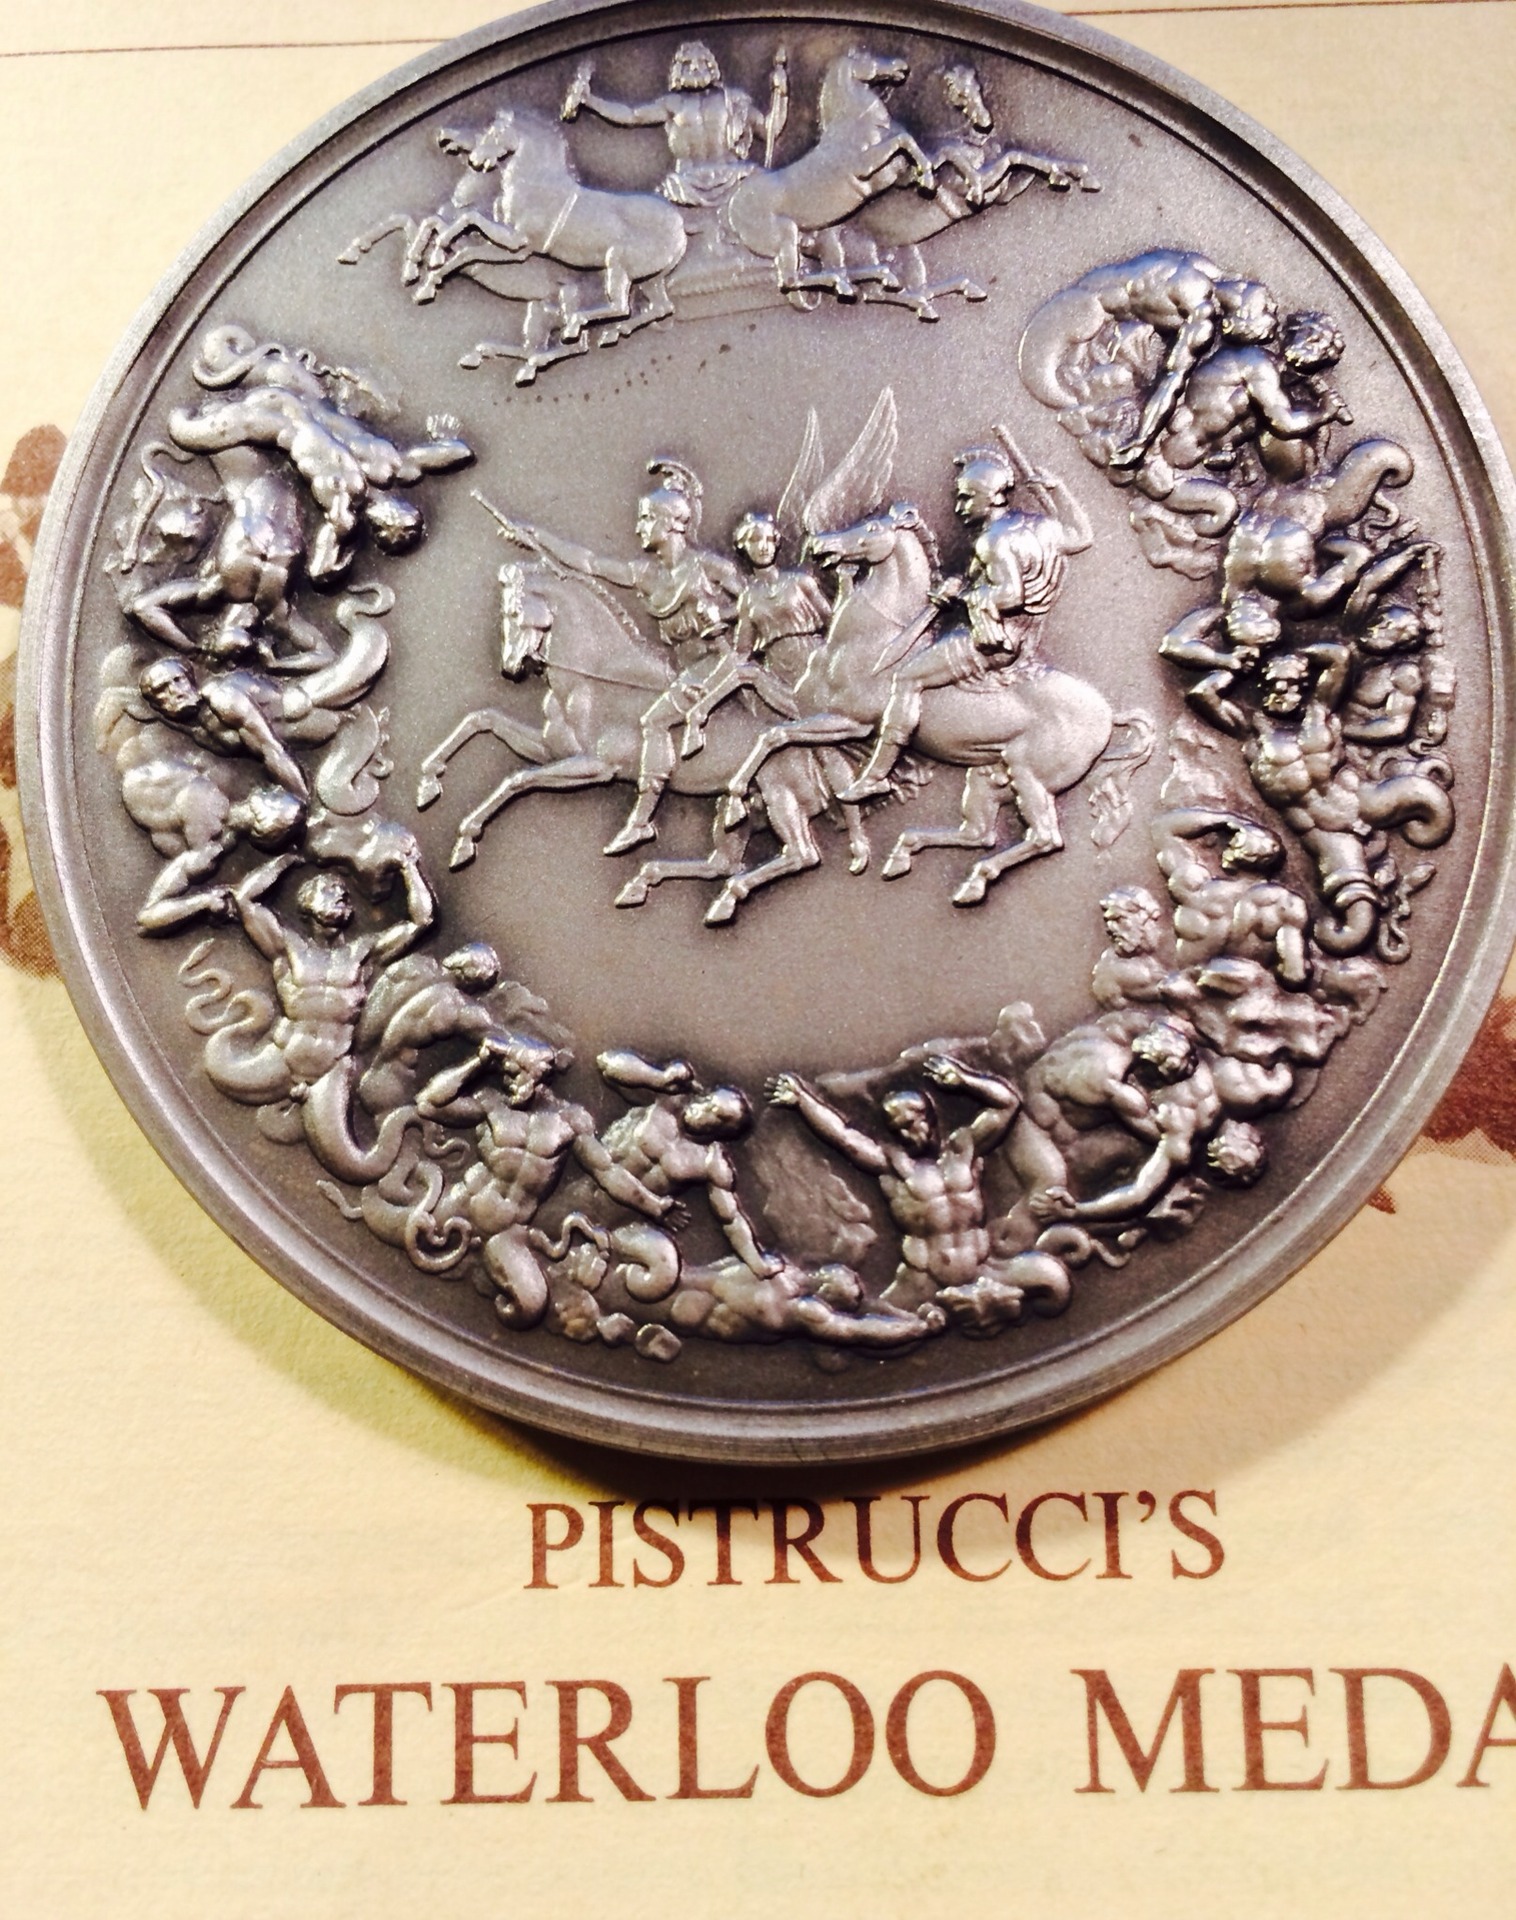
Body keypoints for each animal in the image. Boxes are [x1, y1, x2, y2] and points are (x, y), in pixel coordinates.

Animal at [416, 561, 859, 926]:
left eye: (514, 612)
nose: (510, 668)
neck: (596, 677)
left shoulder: (594, 766)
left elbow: (518, 779)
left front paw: (465, 839)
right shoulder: (550, 748)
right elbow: (483, 720)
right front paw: (429, 784)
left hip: (780, 796)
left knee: (800, 854)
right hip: (741, 809)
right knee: (723, 862)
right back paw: (653, 884)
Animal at [716, 504, 1153, 903]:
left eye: (871, 526)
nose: (819, 544)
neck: (871, 641)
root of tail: (1108, 713)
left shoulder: (849, 720)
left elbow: (775, 735)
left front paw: (737, 802)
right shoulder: (805, 705)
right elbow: (751, 685)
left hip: (1029, 773)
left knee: (1044, 837)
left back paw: (968, 877)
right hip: (989, 773)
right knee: (979, 833)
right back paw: (914, 856)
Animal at [722, 47, 936, 302]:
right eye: (866, 58)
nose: (900, 65)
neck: (856, 123)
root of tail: (733, 209)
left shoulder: (889, 173)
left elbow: (906, 147)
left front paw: (925, 175)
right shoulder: (863, 167)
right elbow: (904, 139)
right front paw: (928, 178)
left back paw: (868, 279)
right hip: (785, 233)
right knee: (791, 279)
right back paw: (844, 282)